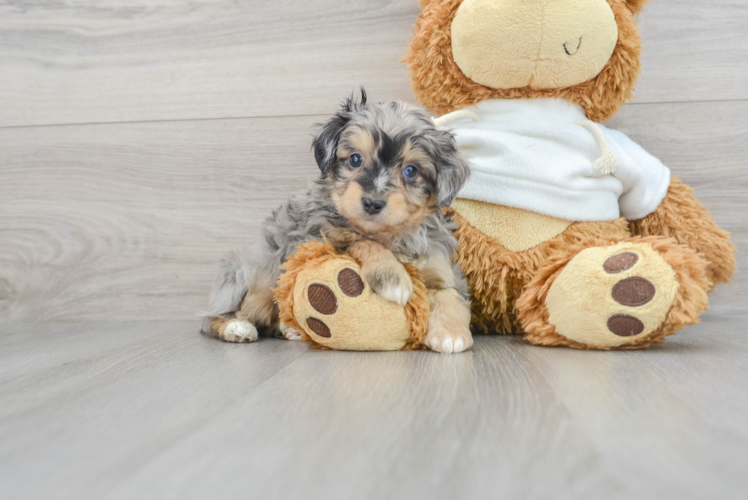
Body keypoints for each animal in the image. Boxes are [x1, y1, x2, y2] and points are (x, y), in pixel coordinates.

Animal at [203, 92, 474, 354]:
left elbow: (450, 292)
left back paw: (290, 330)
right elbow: (363, 241)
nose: (372, 203)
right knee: (219, 316)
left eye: (410, 170)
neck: (391, 234)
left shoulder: (438, 262)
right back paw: (236, 327)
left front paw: (451, 333)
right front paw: (392, 277)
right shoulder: (319, 239)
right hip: (262, 274)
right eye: (355, 159)